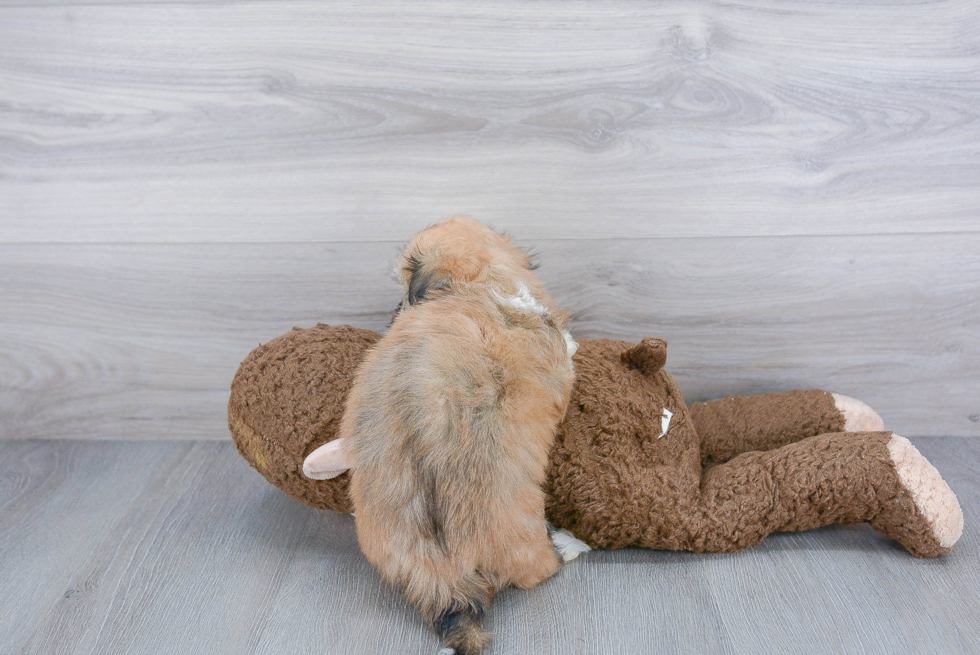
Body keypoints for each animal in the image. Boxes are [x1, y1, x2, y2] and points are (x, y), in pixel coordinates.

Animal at [342, 218, 580, 652]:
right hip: (524, 540)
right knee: (539, 569)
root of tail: (446, 574)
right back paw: (567, 546)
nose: (393, 312)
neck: (486, 283)